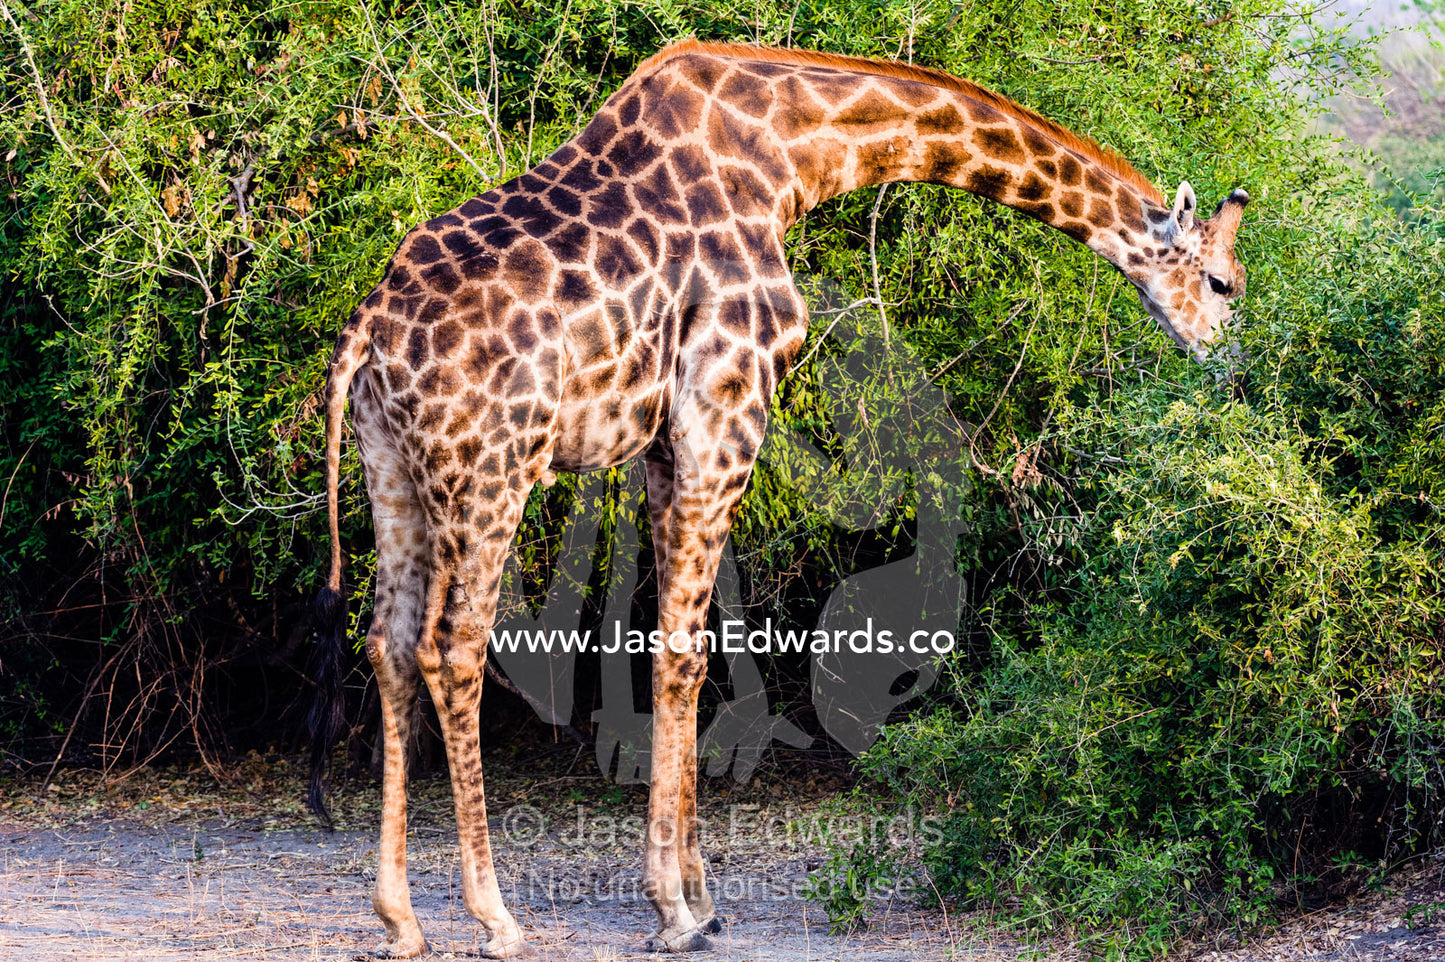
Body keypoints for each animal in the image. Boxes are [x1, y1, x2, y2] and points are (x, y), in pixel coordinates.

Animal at [307, 39, 1250, 957]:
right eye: (1223, 283)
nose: (1229, 365)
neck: (794, 154)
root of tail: (368, 334)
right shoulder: (727, 403)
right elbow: (681, 652)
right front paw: (674, 910)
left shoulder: (666, 438)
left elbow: (682, 645)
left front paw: (697, 902)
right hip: (493, 467)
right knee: (454, 648)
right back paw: (494, 917)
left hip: (392, 467)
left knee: (388, 642)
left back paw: (399, 919)